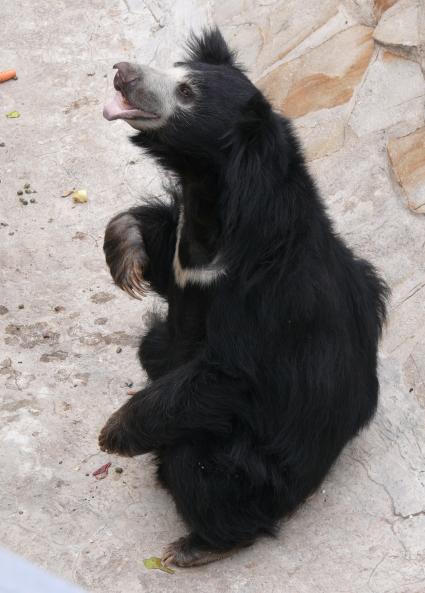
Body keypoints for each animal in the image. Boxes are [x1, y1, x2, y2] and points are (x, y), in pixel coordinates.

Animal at [98, 27, 388, 564]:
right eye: (175, 69)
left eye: (186, 93)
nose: (122, 71)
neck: (215, 200)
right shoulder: (191, 257)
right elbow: (163, 261)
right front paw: (125, 250)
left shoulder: (262, 294)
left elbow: (229, 371)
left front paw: (114, 433)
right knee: (153, 346)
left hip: (254, 469)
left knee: (200, 469)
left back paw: (200, 545)